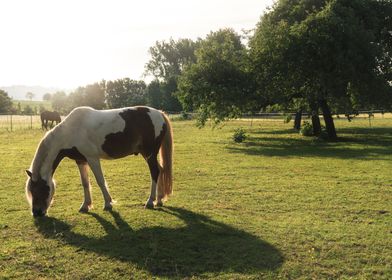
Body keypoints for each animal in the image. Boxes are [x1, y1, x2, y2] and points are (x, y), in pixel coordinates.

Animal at [24, 106, 172, 218]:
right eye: (31, 190)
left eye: (38, 190)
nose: (36, 213)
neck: (71, 131)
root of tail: (160, 113)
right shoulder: (81, 160)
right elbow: (85, 183)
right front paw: (85, 206)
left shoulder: (92, 158)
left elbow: (100, 181)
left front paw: (108, 204)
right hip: (149, 154)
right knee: (161, 170)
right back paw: (159, 199)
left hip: (149, 154)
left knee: (155, 172)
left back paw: (150, 201)